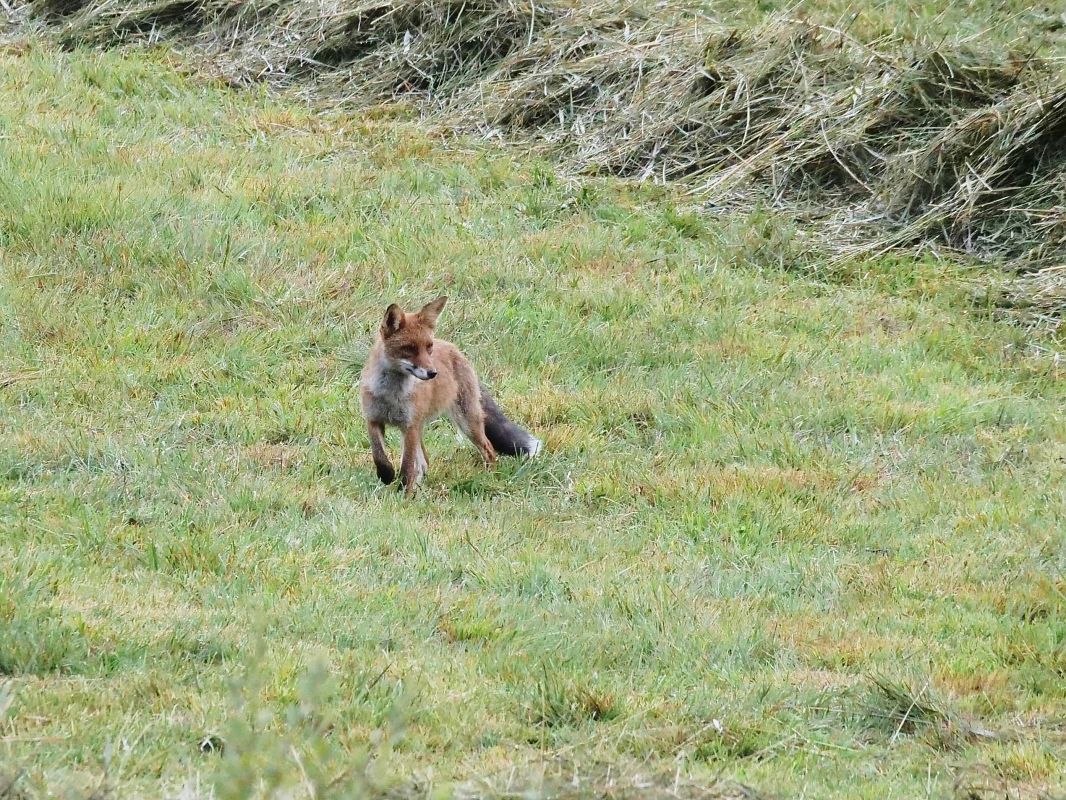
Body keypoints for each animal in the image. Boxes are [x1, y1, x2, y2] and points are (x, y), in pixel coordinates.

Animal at [359, 296, 542, 496]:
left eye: (428, 347)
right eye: (409, 348)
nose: (432, 373)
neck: (390, 395)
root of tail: (455, 349)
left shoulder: (409, 427)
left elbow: (407, 468)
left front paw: (403, 495)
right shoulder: (374, 419)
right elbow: (379, 456)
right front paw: (387, 475)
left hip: (467, 423)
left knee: (489, 450)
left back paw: (489, 479)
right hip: (425, 427)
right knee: (424, 463)